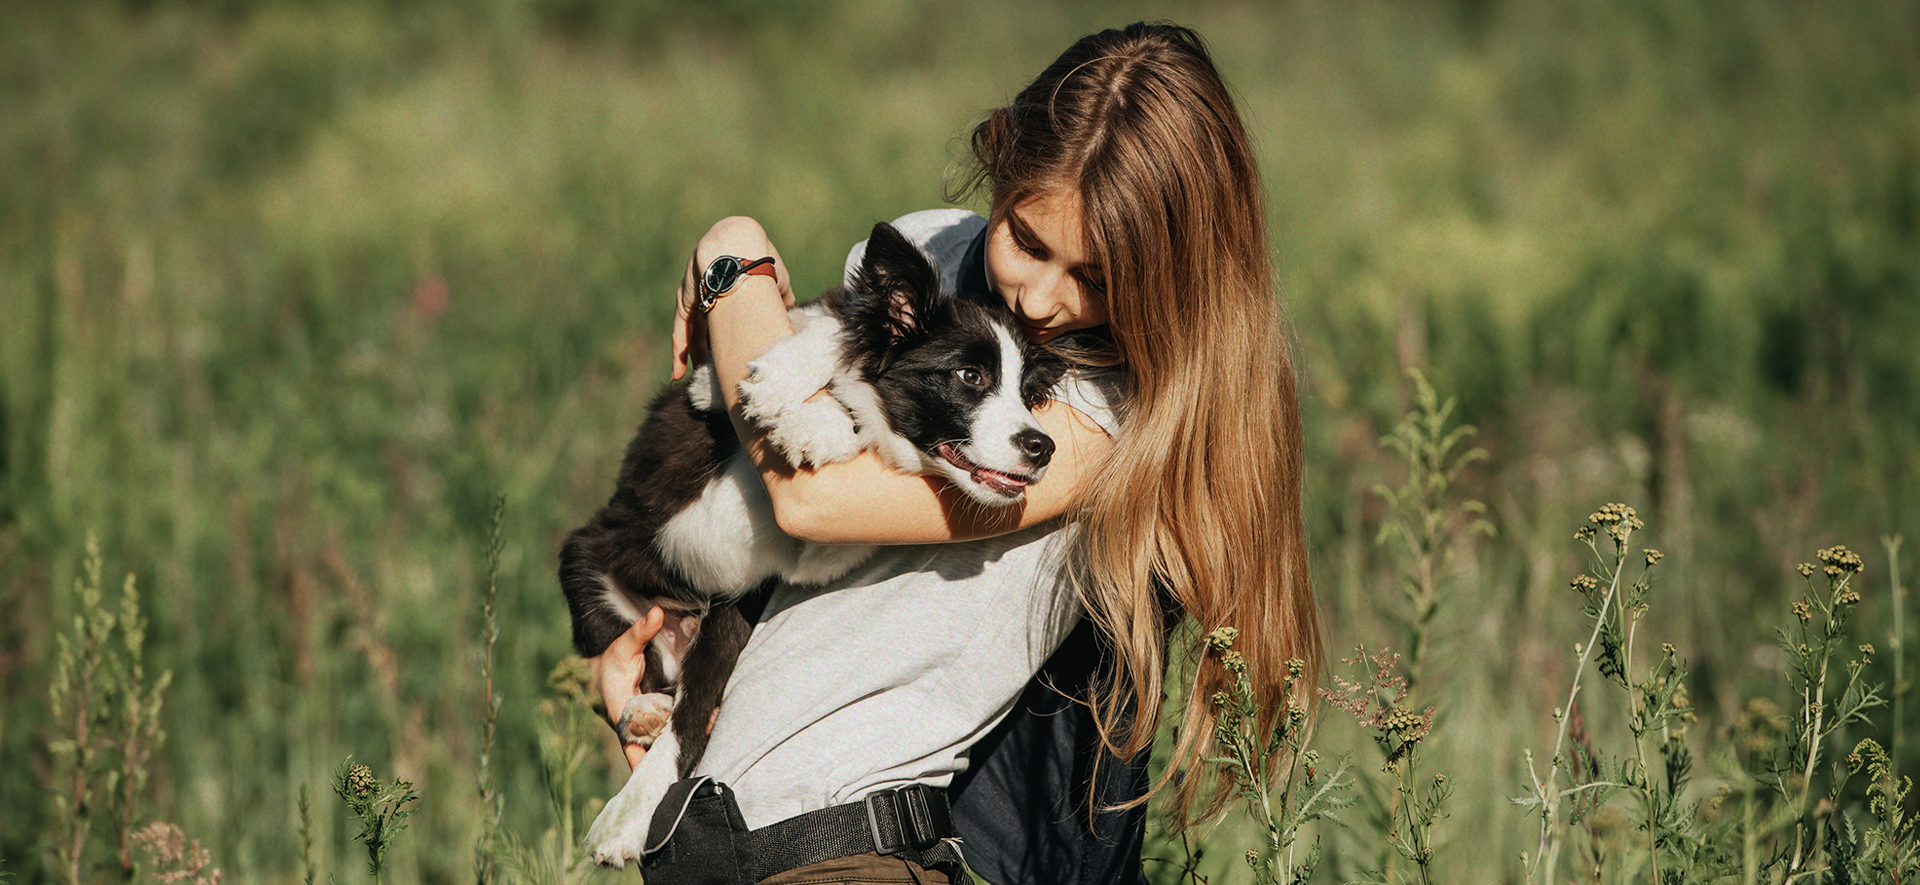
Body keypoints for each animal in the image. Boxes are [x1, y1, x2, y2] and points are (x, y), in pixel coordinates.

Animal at [560, 220, 1067, 863]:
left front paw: (821, 422)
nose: (1042, 447)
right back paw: (646, 713)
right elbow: (829, 322)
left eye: (1029, 394)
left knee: (690, 694)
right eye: (970, 377)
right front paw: (786, 390)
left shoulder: (798, 563)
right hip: (588, 558)